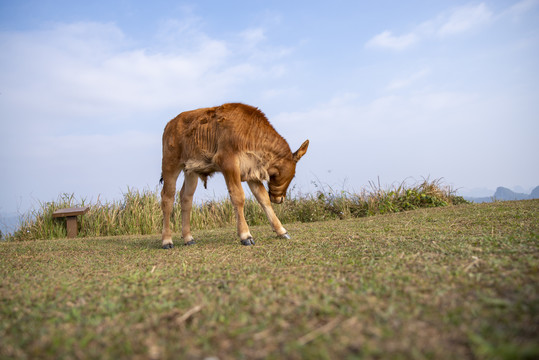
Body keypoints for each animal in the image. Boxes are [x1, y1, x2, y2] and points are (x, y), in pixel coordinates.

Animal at [159, 102, 308, 246]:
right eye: (293, 175)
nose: (280, 199)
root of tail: (170, 123)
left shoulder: (251, 170)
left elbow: (263, 198)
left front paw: (281, 231)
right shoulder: (228, 163)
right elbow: (238, 197)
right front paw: (245, 235)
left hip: (191, 171)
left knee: (186, 198)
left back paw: (188, 238)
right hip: (170, 164)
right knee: (167, 197)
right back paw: (167, 240)